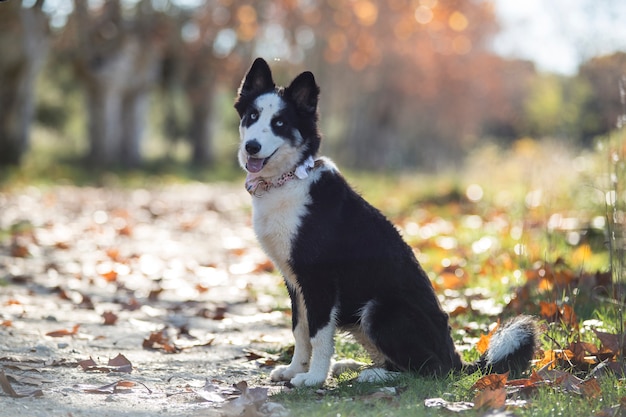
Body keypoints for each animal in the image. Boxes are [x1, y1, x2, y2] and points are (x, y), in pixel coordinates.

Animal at [234, 57, 536, 386]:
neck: (288, 180)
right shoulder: (295, 283)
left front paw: (313, 378)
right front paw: (293, 370)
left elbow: (318, 335)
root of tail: (456, 358)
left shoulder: (319, 280)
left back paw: (373, 376)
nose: (251, 147)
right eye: (252, 116)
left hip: (379, 310)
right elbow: (300, 331)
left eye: (280, 123)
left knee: (430, 369)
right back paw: (355, 366)